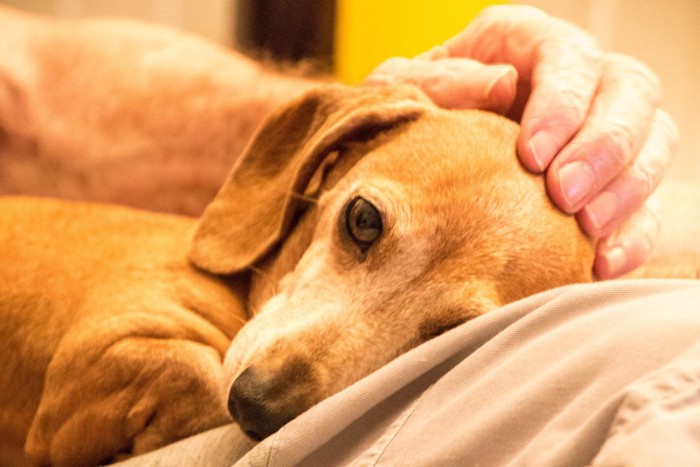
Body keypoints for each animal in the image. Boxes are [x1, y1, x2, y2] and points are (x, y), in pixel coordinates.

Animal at [4, 83, 684, 464]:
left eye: (451, 337)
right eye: (362, 219)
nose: (257, 406)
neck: (245, 294)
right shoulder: (99, 351)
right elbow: (196, 373)